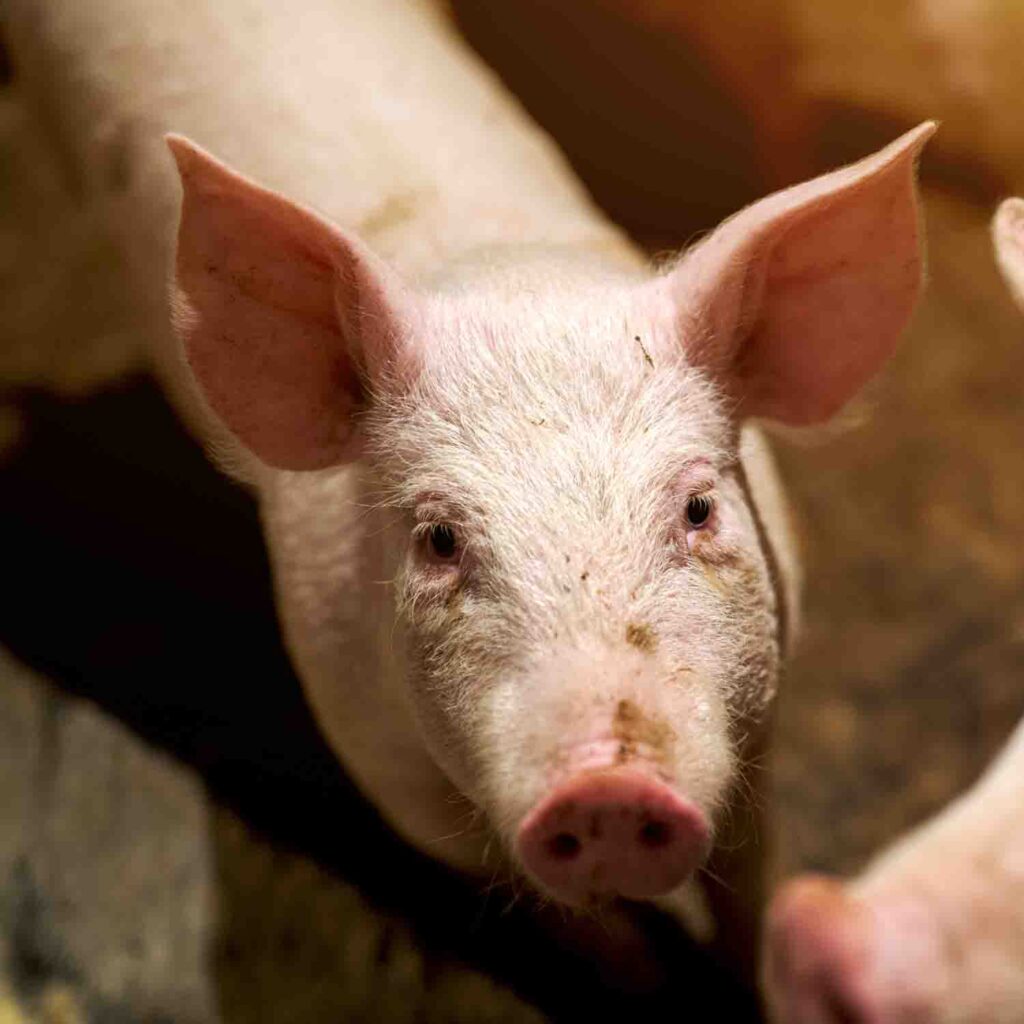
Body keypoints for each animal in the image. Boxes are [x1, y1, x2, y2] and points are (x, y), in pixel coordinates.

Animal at [6, 0, 932, 971]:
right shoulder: (397, 787)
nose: (608, 791)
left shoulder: (766, 716)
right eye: (440, 540)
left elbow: (749, 880)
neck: (508, 276)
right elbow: (585, 933)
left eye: (699, 508)